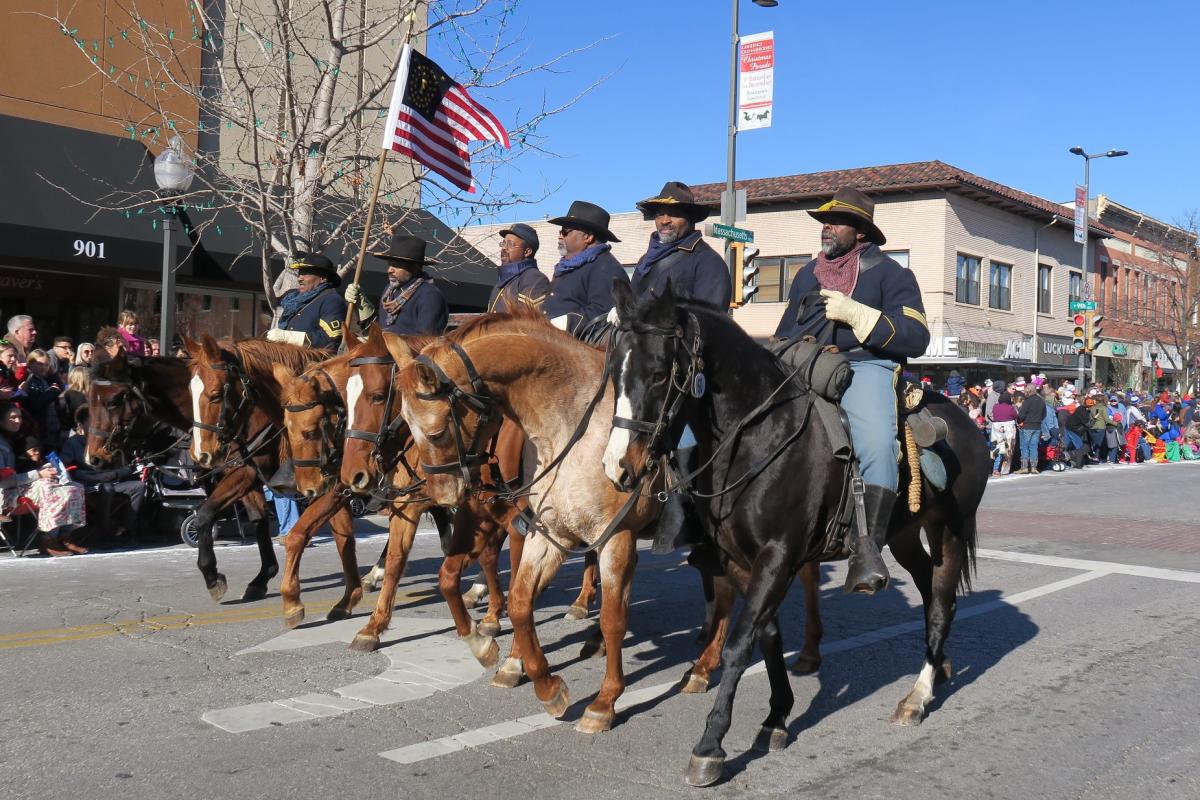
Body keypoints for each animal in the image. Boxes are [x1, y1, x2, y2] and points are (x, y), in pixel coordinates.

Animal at [604, 283, 988, 786]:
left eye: (657, 373)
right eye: (614, 372)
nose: (618, 468)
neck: (757, 436)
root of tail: (967, 423)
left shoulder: (777, 556)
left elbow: (738, 643)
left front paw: (711, 745)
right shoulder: (740, 560)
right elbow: (767, 635)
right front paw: (776, 717)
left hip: (949, 531)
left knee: (943, 602)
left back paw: (917, 697)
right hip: (904, 535)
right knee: (928, 591)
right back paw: (937, 667)